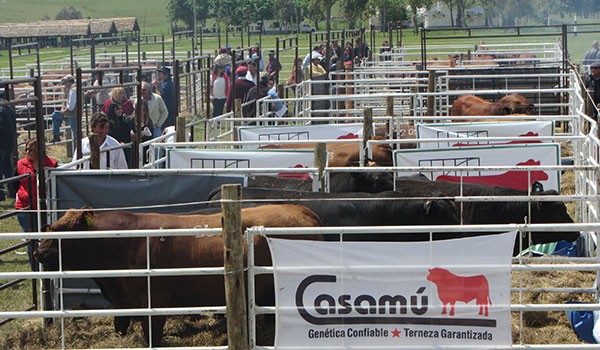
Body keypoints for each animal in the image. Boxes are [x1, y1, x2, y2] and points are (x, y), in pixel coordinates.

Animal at [34, 205, 324, 348]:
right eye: (50, 226)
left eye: (63, 230)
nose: (38, 251)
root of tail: (304, 211)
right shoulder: (121, 301)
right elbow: (121, 325)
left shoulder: (154, 302)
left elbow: (152, 336)